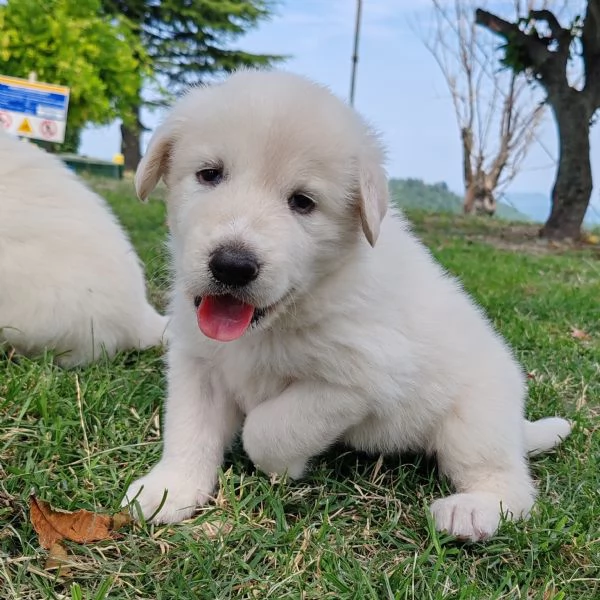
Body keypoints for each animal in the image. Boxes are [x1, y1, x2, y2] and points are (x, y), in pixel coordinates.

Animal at [123, 71, 572, 544]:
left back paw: (472, 511)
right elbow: (189, 430)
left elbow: (265, 431)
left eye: (303, 202)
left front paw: (284, 466)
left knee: (510, 485)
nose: (232, 265)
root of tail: (515, 423)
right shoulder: (199, 364)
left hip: (475, 420)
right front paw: (169, 489)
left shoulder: (356, 382)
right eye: (210, 175)